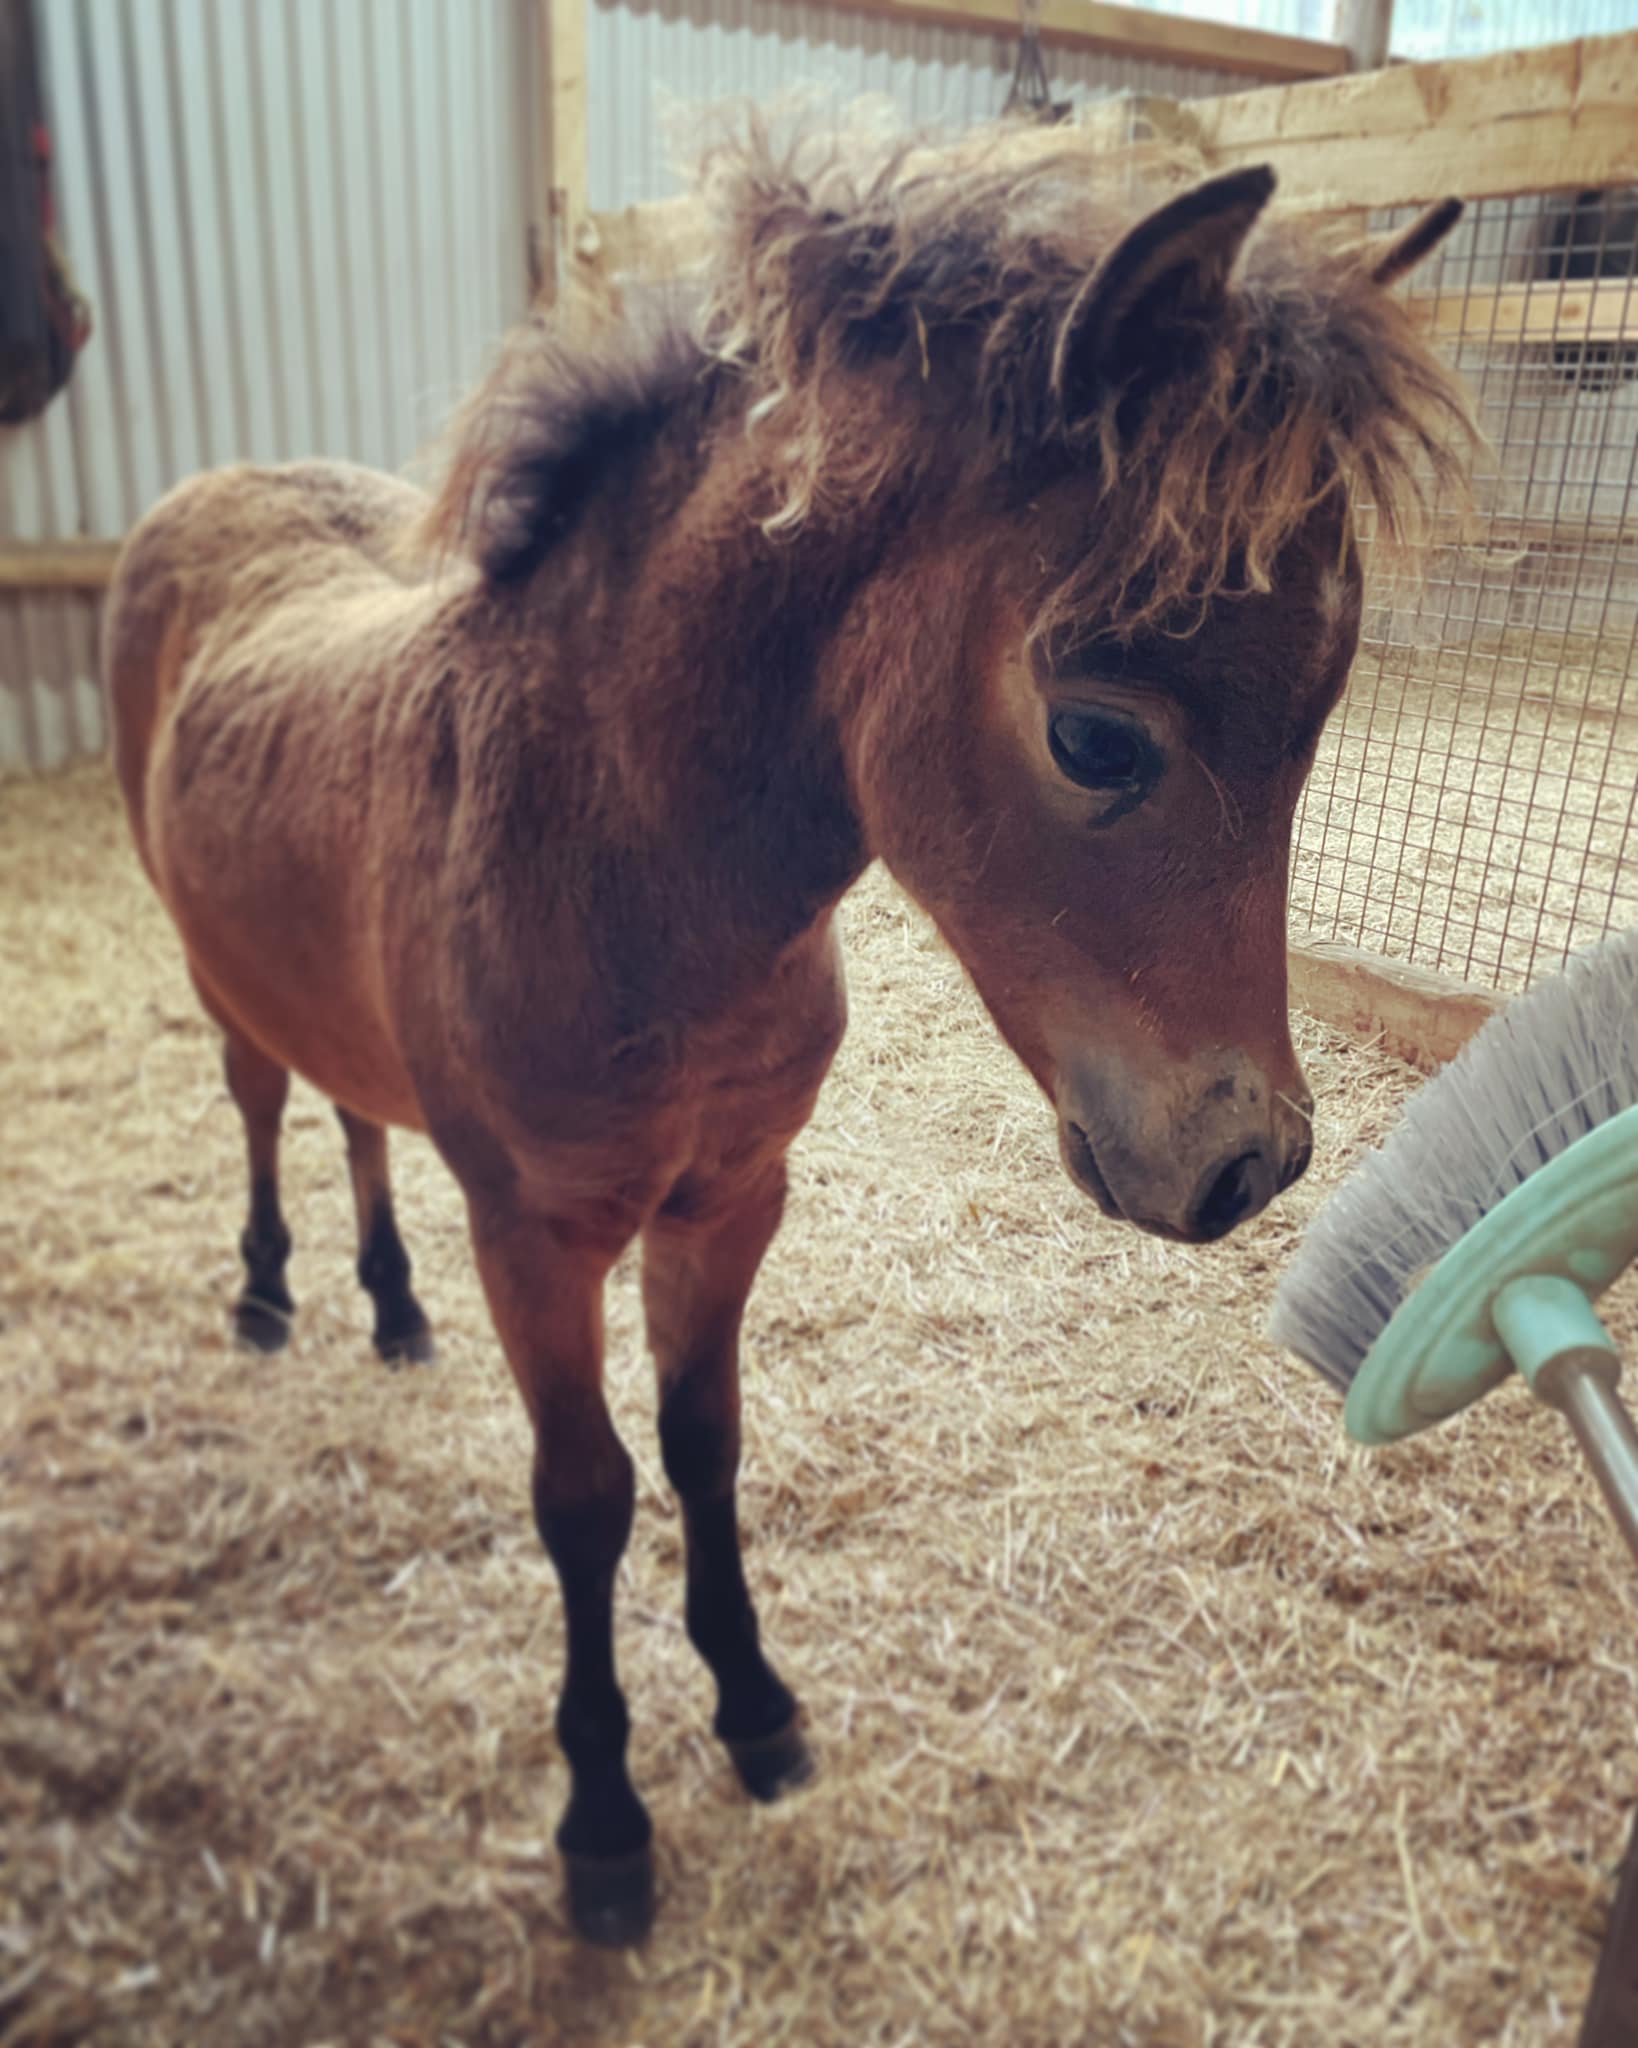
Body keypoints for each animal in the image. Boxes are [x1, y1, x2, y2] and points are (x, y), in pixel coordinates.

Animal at [105, 128, 1473, 1944]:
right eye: (1095, 736)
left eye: (1322, 715)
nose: (1247, 1160)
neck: (626, 870)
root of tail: (208, 489)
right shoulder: (536, 1232)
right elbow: (584, 1492)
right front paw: (604, 1824)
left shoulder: (733, 1193)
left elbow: (704, 1440)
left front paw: (755, 1710)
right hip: (215, 964)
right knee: (263, 1098)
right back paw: (269, 1294)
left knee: (349, 1108)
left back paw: (388, 1307)